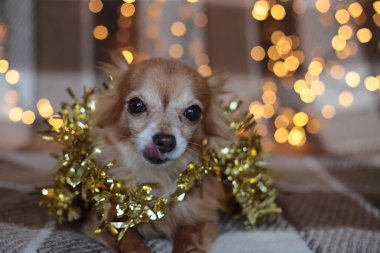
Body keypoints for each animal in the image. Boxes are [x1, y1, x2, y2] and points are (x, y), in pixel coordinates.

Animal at [83, 58, 230, 252]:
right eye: (136, 105)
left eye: (193, 113)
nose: (165, 141)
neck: (155, 179)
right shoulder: (101, 221)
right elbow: (128, 238)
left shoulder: (201, 218)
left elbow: (188, 238)